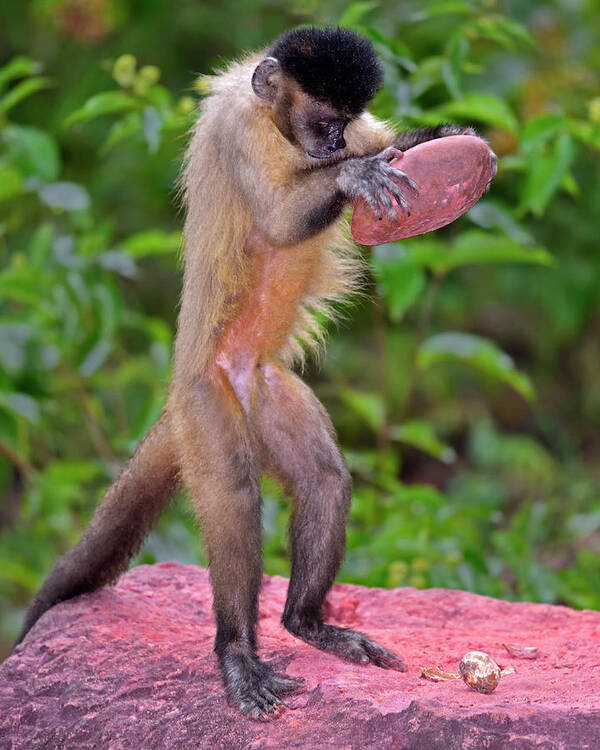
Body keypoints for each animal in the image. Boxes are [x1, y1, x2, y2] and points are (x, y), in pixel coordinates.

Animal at [14, 26, 494, 724]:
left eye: (342, 124)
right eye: (322, 123)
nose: (333, 146)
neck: (276, 124)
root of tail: (197, 386)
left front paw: (427, 138)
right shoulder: (237, 127)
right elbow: (276, 217)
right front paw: (354, 174)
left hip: (265, 387)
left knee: (324, 479)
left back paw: (305, 623)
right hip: (204, 401)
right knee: (235, 499)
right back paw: (237, 651)